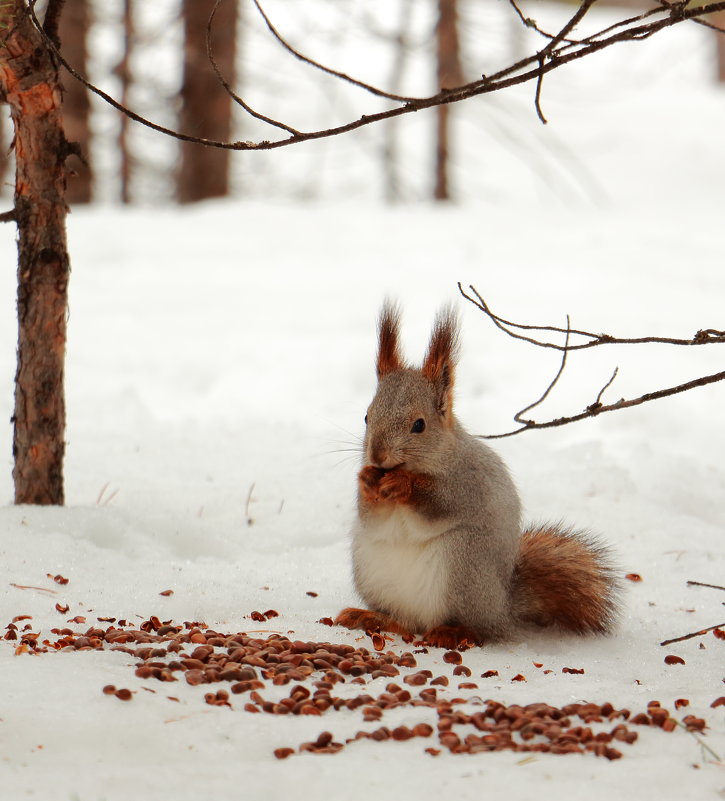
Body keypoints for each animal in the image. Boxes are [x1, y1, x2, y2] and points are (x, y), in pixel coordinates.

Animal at [336, 304, 620, 648]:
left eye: (419, 425)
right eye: (366, 417)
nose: (377, 456)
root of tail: (503, 609)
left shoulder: (468, 483)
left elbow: (439, 504)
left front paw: (403, 485)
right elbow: (371, 517)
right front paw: (366, 481)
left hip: (464, 566)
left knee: (480, 630)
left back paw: (454, 631)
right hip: (373, 571)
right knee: (404, 621)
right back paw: (375, 618)